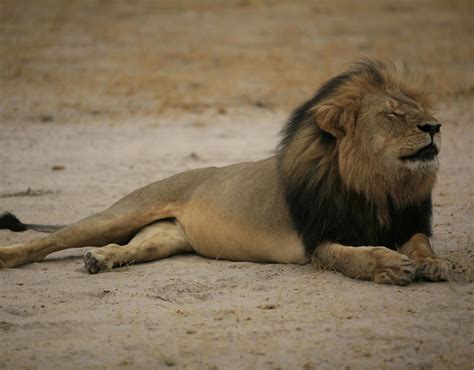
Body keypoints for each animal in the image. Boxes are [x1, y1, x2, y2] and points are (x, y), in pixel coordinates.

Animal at [0, 59, 452, 286]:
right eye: (393, 115)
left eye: (418, 110)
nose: (435, 126)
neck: (379, 187)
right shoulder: (317, 241)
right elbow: (351, 258)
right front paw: (389, 266)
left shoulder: (407, 222)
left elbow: (421, 243)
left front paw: (433, 264)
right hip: (122, 212)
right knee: (50, 240)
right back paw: (10, 257)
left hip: (165, 237)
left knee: (130, 247)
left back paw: (101, 260)